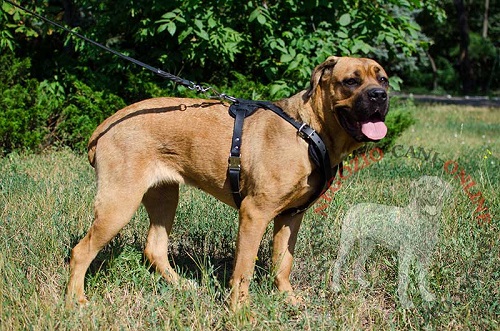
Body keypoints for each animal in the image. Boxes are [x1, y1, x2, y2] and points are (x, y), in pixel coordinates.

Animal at [64, 55, 388, 310]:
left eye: (382, 79)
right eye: (350, 81)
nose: (379, 96)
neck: (310, 130)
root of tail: (106, 125)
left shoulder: (290, 216)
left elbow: (283, 263)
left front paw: (288, 300)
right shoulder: (254, 213)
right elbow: (243, 268)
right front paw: (240, 311)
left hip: (165, 196)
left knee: (154, 248)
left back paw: (183, 286)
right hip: (119, 202)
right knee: (81, 252)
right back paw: (76, 301)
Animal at [330, 176, 452, 308]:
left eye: (437, 186)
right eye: (421, 186)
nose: (428, 193)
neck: (424, 220)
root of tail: (352, 207)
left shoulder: (425, 255)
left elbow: (423, 277)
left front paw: (426, 295)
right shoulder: (405, 253)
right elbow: (404, 278)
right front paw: (405, 302)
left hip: (368, 245)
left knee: (358, 262)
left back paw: (361, 282)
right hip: (347, 242)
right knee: (338, 263)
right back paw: (336, 286)